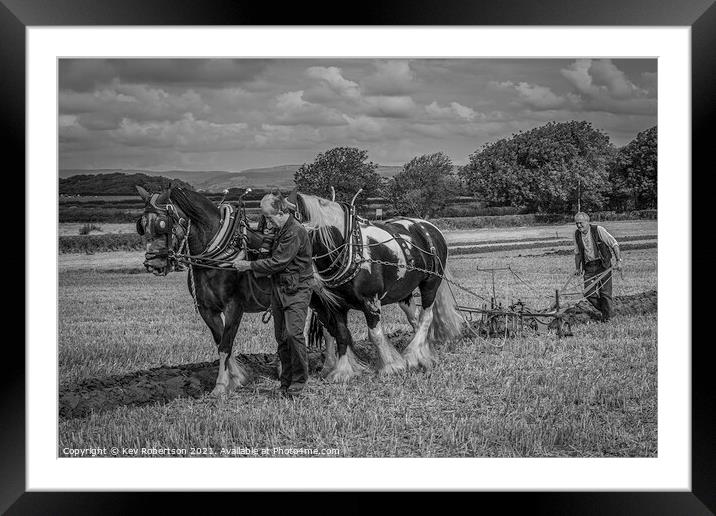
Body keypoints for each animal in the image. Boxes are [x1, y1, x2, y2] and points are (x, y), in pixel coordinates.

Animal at [136, 184, 282, 396]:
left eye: (163, 224)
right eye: (142, 224)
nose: (152, 263)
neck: (216, 258)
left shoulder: (234, 307)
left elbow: (225, 345)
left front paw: (221, 386)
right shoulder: (207, 309)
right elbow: (220, 341)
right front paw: (238, 378)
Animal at [288, 191, 462, 380]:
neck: (349, 248)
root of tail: (429, 227)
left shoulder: (369, 300)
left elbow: (375, 334)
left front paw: (391, 366)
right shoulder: (334, 305)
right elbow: (340, 334)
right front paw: (342, 370)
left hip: (430, 284)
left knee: (426, 317)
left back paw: (412, 354)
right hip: (404, 292)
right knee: (415, 318)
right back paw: (425, 352)